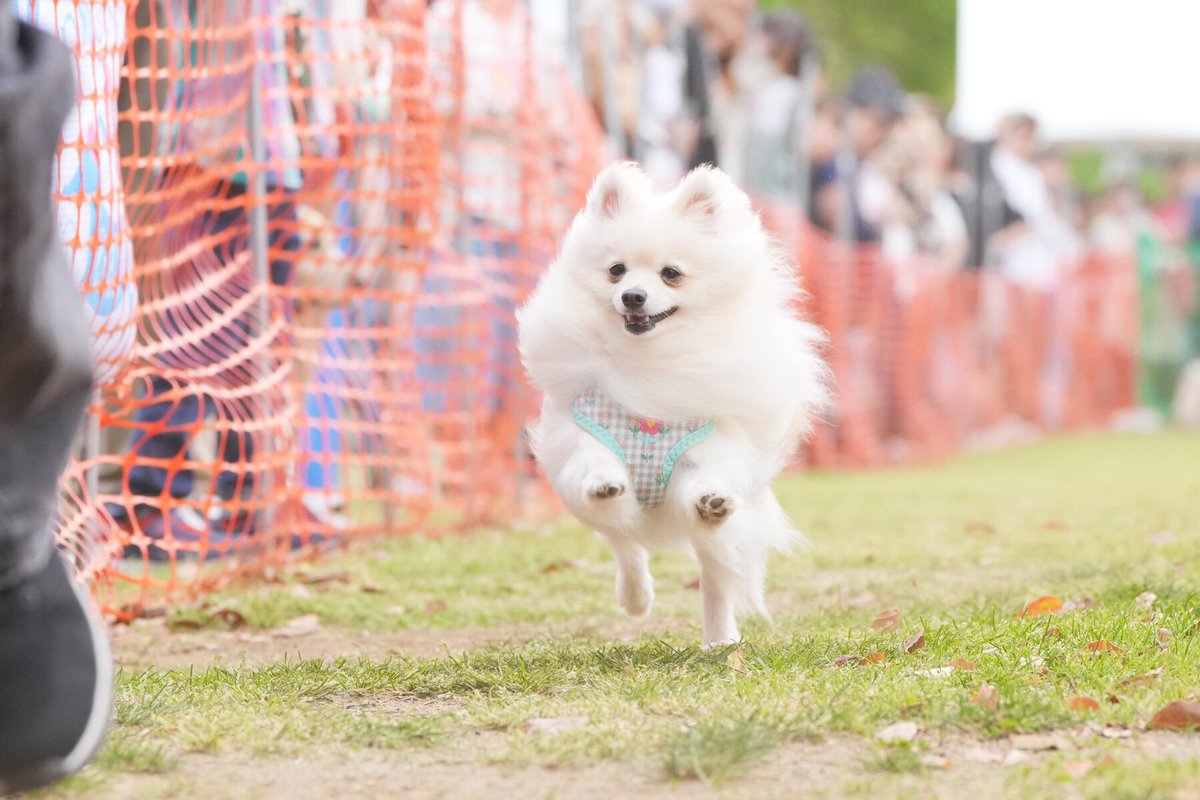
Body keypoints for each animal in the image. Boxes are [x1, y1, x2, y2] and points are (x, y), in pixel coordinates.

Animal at [520, 164, 830, 652]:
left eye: (671, 274)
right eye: (616, 271)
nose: (632, 296)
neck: (649, 362)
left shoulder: (705, 453)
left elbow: (704, 484)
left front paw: (710, 499)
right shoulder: (585, 437)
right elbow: (594, 465)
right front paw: (604, 481)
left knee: (713, 578)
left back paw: (720, 639)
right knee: (625, 543)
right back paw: (635, 597)